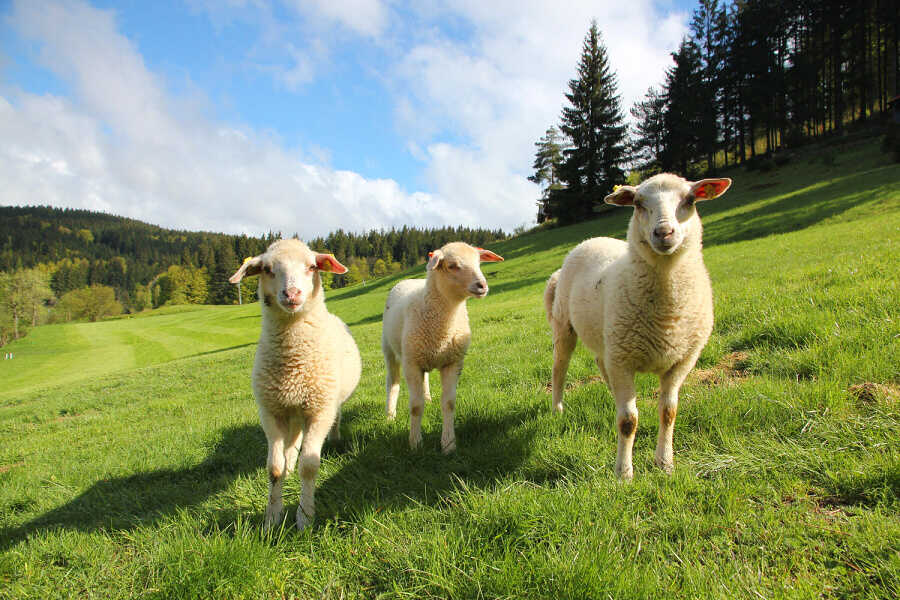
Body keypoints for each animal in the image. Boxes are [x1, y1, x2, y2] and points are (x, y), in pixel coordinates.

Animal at [229, 239, 362, 528]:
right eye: (267, 269)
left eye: (312, 266)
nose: (291, 294)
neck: (293, 362)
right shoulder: (271, 412)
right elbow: (274, 468)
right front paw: (271, 518)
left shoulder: (319, 410)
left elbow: (309, 466)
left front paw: (305, 517)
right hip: (292, 408)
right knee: (292, 441)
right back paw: (290, 460)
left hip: (326, 401)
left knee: (333, 420)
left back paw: (334, 438)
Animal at [382, 241, 502, 452]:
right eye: (452, 265)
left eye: (479, 262)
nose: (482, 285)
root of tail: (408, 280)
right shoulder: (411, 364)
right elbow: (416, 407)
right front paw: (415, 443)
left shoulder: (453, 362)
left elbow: (449, 403)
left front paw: (448, 444)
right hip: (390, 350)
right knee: (393, 383)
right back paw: (390, 416)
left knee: (425, 380)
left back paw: (428, 398)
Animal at [544, 172, 728, 478]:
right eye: (639, 203)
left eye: (690, 200)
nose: (664, 233)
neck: (667, 315)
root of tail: (591, 239)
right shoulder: (623, 360)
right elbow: (628, 421)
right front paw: (623, 473)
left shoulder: (682, 362)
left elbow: (668, 412)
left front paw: (665, 463)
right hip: (565, 326)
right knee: (560, 367)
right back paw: (557, 407)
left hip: (608, 339)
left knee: (600, 362)